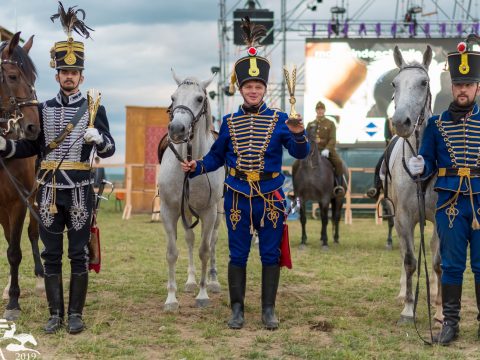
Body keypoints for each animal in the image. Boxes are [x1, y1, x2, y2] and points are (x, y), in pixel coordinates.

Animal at [158, 71, 224, 312]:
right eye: (173, 97)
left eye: (199, 98)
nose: (177, 129)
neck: (189, 163)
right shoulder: (169, 211)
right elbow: (172, 252)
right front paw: (171, 299)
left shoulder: (208, 212)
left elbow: (205, 250)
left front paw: (203, 294)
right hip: (186, 212)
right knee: (189, 239)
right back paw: (190, 281)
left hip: (218, 213)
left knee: (212, 241)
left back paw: (212, 281)